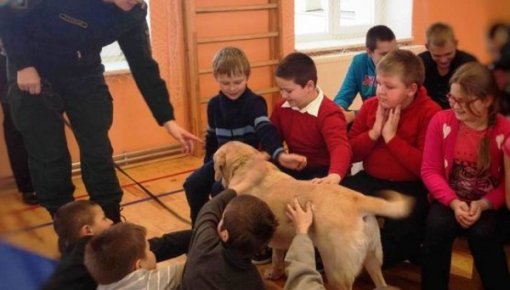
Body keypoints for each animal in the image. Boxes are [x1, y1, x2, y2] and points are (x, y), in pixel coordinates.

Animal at [213, 142, 412, 290]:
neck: (245, 163)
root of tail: (359, 199)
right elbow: (277, 256)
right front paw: (275, 273)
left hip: (336, 269)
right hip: (372, 257)